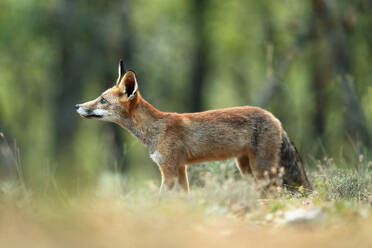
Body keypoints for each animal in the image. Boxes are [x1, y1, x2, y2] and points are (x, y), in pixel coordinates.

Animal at [75, 60, 310, 192]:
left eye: (102, 100)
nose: (77, 105)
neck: (156, 132)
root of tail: (274, 117)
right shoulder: (180, 169)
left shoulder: (169, 172)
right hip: (246, 168)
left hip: (262, 170)